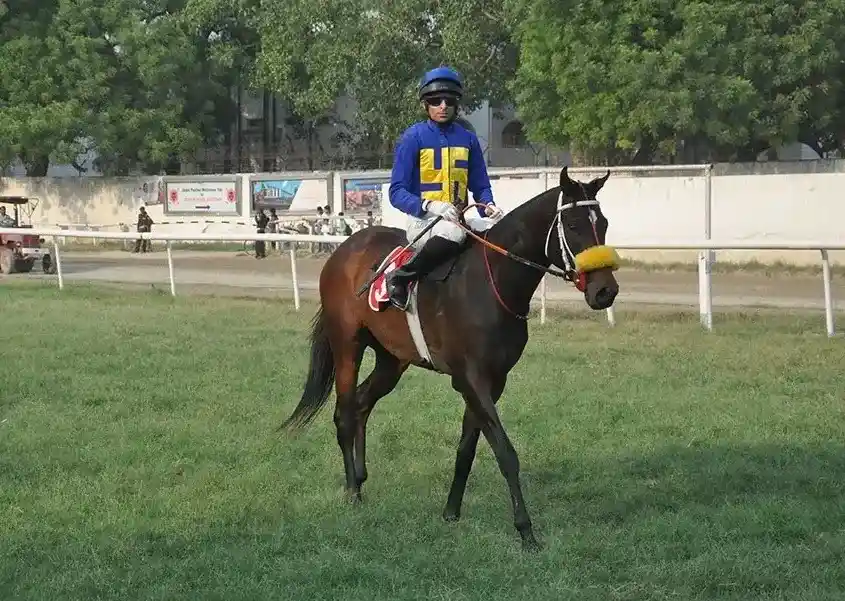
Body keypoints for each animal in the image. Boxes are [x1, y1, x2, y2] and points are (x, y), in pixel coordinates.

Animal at [280, 166, 616, 552]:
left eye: (604, 223)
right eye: (573, 225)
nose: (605, 291)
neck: (492, 283)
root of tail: (345, 250)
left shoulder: (493, 381)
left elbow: (467, 448)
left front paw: (451, 511)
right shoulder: (471, 379)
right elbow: (505, 452)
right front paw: (526, 531)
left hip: (391, 359)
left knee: (363, 403)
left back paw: (361, 479)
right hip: (347, 345)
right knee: (345, 412)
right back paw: (351, 490)